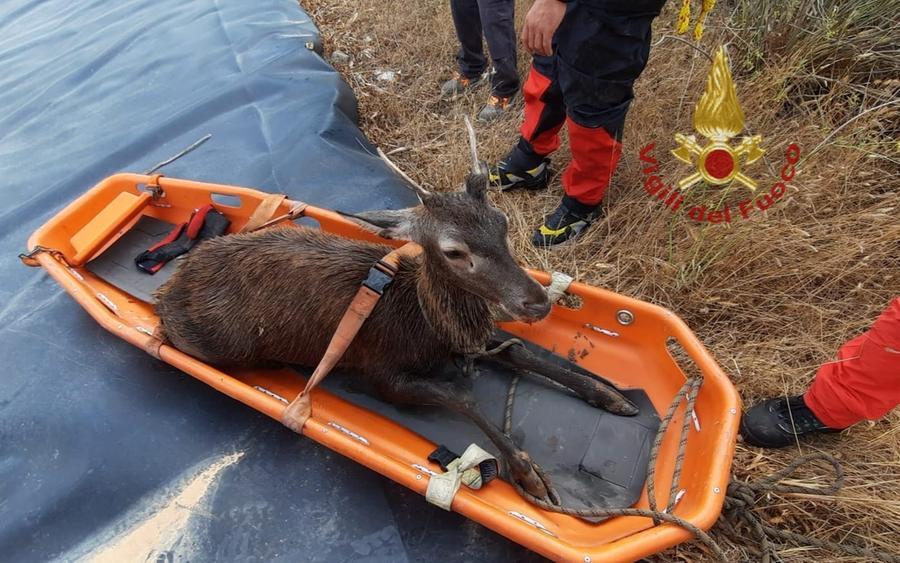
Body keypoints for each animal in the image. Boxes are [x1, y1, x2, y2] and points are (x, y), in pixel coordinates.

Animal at [153, 121, 638, 501]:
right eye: (454, 250)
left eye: (502, 222)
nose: (536, 302)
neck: (426, 324)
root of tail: (169, 285)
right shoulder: (382, 372)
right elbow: (462, 396)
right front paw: (527, 472)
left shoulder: (474, 337)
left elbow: (521, 353)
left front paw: (609, 395)